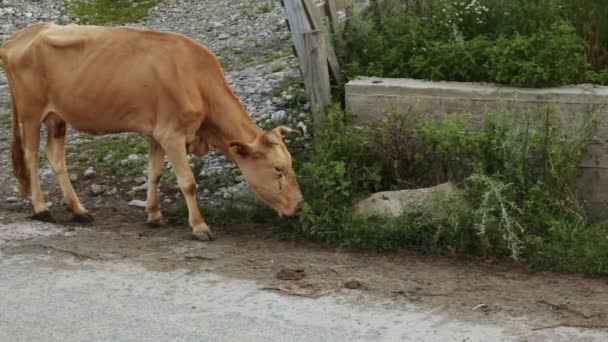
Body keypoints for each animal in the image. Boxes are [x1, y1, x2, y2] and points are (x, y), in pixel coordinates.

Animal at [0, 22, 304, 240]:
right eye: (278, 169)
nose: (300, 205)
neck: (195, 77)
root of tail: (23, 34)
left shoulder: (158, 133)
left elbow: (155, 173)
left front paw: (154, 215)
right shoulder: (173, 135)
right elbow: (188, 182)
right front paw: (199, 227)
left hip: (57, 117)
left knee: (55, 158)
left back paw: (79, 210)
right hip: (30, 113)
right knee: (31, 157)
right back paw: (42, 209)